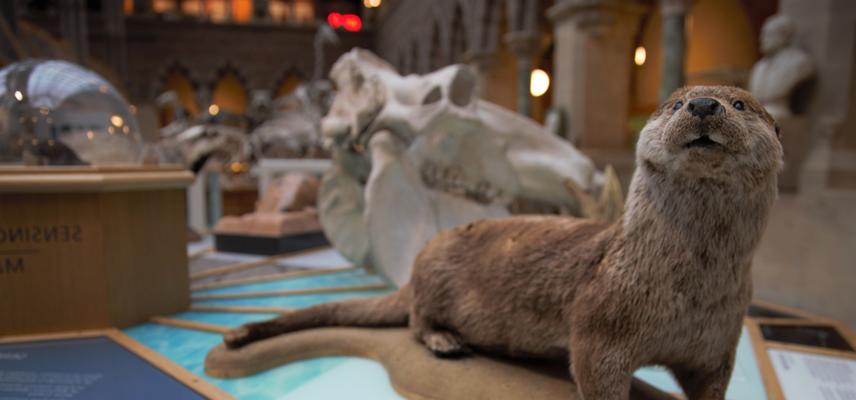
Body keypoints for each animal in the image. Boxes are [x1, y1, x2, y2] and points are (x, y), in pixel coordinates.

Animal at [226, 86, 784, 398]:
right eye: (675, 103)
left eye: (740, 103)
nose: (704, 104)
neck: (688, 290)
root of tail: (415, 267)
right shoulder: (600, 326)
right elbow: (595, 372)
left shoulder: (719, 345)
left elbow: (710, 386)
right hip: (432, 277)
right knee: (414, 322)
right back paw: (445, 341)